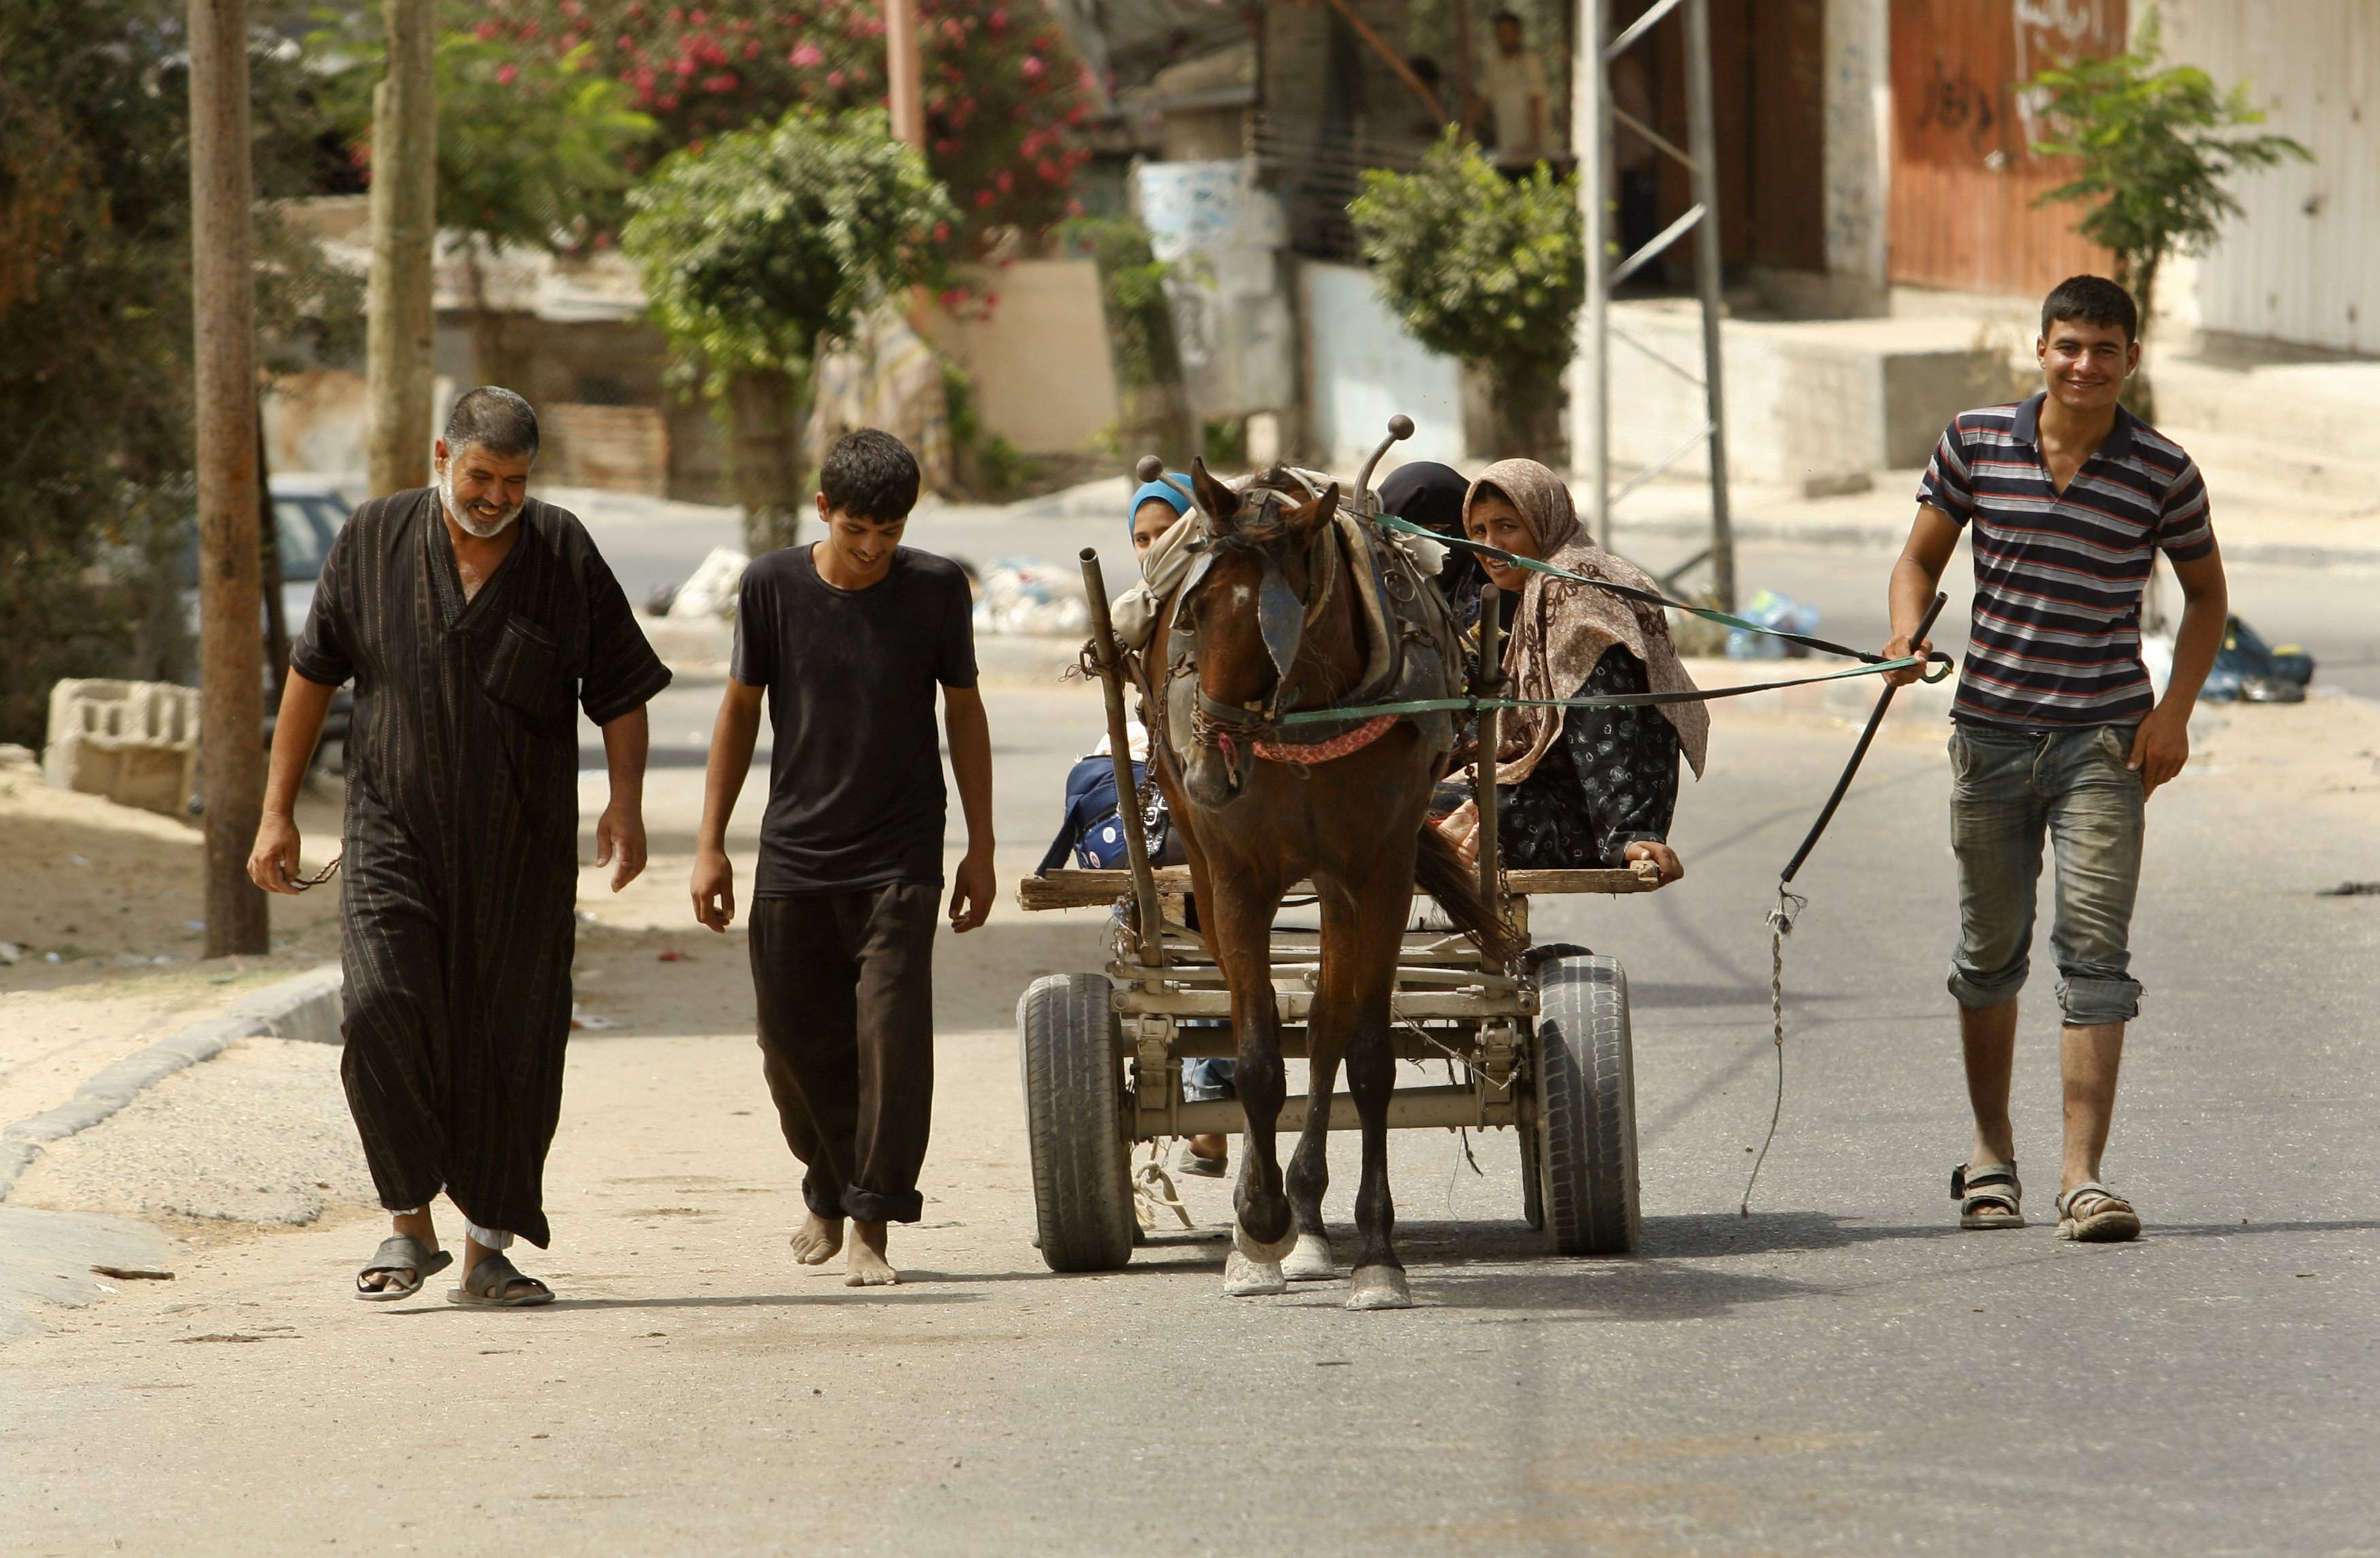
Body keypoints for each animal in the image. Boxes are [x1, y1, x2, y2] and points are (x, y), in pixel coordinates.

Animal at [1147, 456, 1514, 1313]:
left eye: (1271, 628)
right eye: (1196, 610)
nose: (1208, 772)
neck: (1305, 714)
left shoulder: (1379, 871)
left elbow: (1367, 1058)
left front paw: (1375, 1252)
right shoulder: (1237, 881)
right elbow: (1254, 1060)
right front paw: (1257, 1225)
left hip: (1340, 887)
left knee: (1323, 1028)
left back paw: (1311, 1217)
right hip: (1207, 864)